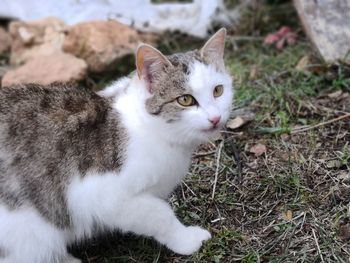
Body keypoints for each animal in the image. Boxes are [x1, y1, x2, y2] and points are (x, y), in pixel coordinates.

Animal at [0, 27, 232, 262]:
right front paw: (187, 239)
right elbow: (159, 214)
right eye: (185, 100)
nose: (215, 118)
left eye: (218, 91)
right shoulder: (99, 195)